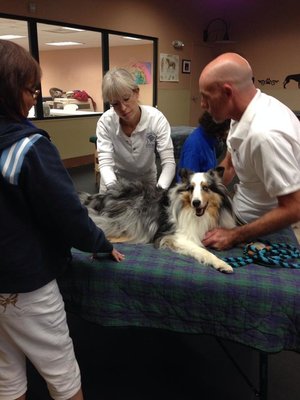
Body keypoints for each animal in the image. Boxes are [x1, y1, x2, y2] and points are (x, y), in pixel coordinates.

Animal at [79, 167, 237, 274]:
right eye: (191, 188)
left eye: (205, 188)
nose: (196, 203)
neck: (197, 215)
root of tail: (98, 197)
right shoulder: (177, 237)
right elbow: (203, 251)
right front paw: (223, 264)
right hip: (125, 220)